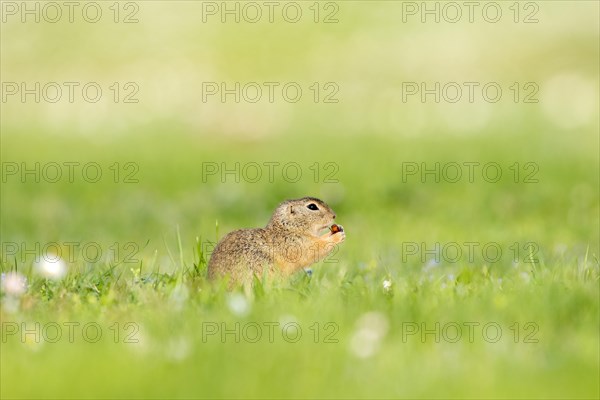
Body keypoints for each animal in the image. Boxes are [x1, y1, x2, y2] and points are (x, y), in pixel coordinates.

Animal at [207, 196, 344, 284]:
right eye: (312, 206)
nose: (334, 216)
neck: (289, 228)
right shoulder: (298, 243)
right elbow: (316, 248)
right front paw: (337, 236)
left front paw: (338, 229)